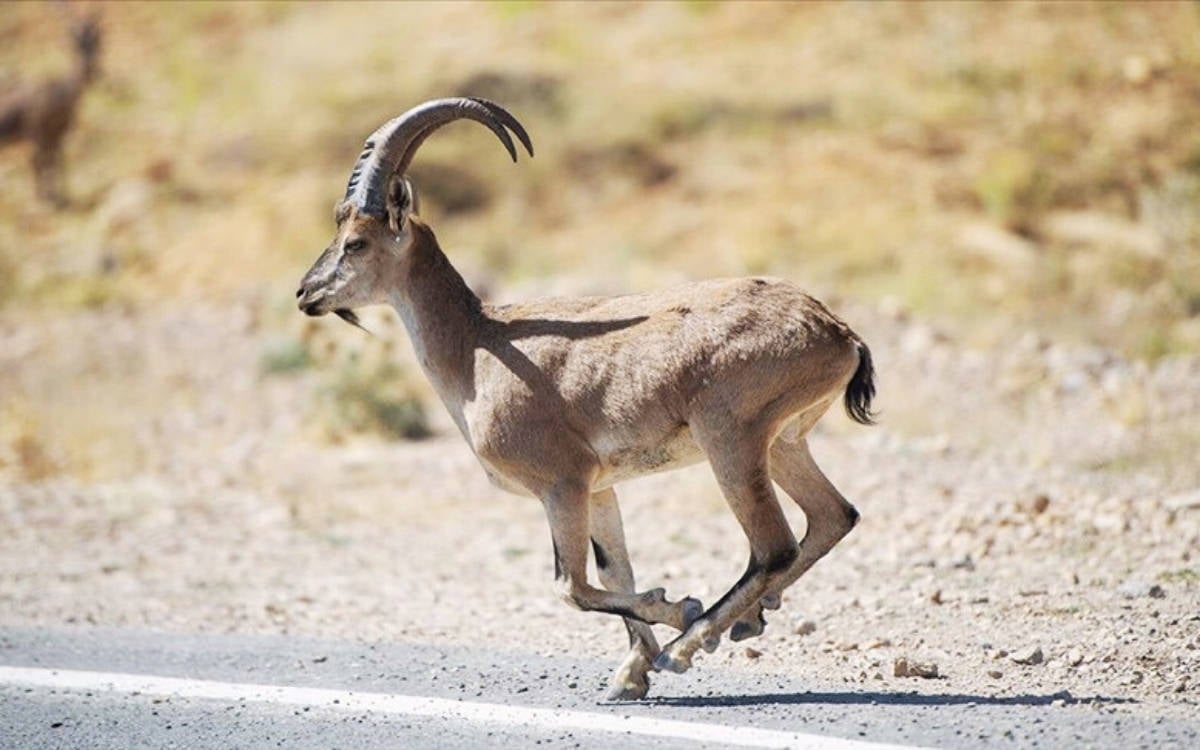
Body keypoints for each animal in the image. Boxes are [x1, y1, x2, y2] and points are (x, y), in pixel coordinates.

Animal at [0, 16, 100, 205]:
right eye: (76, 44)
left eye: (96, 43)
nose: (91, 70)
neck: (60, 93)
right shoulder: (37, 133)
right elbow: (40, 162)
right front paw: (47, 199)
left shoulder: (56, 134)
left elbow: (56, 161)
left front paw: (61, 196)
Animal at [295, 96, 878, 700]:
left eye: (356, 242)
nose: (305, 293)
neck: (480, 348)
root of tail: (837, 332)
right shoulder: (599, 489)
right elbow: (613, 571)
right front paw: (629, 675)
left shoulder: (562, 483)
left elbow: (570, 588)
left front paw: (677, 613)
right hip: (784, 442)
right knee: (833, 516)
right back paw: (740, 622)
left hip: (732, 441)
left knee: (774, 545)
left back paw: (689, 644)